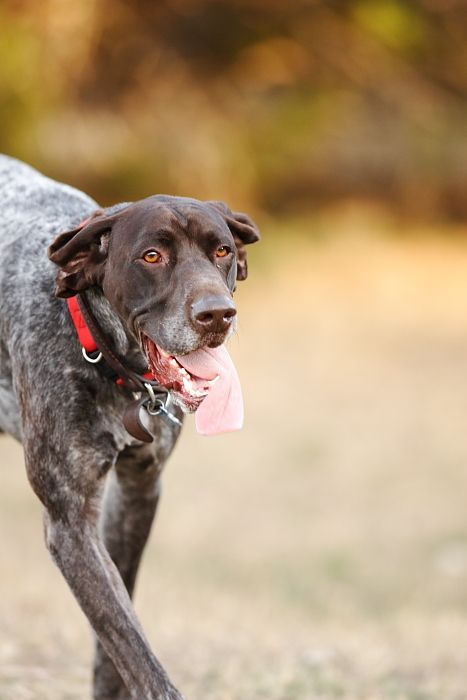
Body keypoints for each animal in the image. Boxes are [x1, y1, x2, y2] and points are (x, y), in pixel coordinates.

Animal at [0, 157, 260, 700]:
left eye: (222, 250)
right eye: (152, 256)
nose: (217, 315)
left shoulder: (138, 492)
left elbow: (113, 644)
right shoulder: (70, 522)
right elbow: (132, 646)